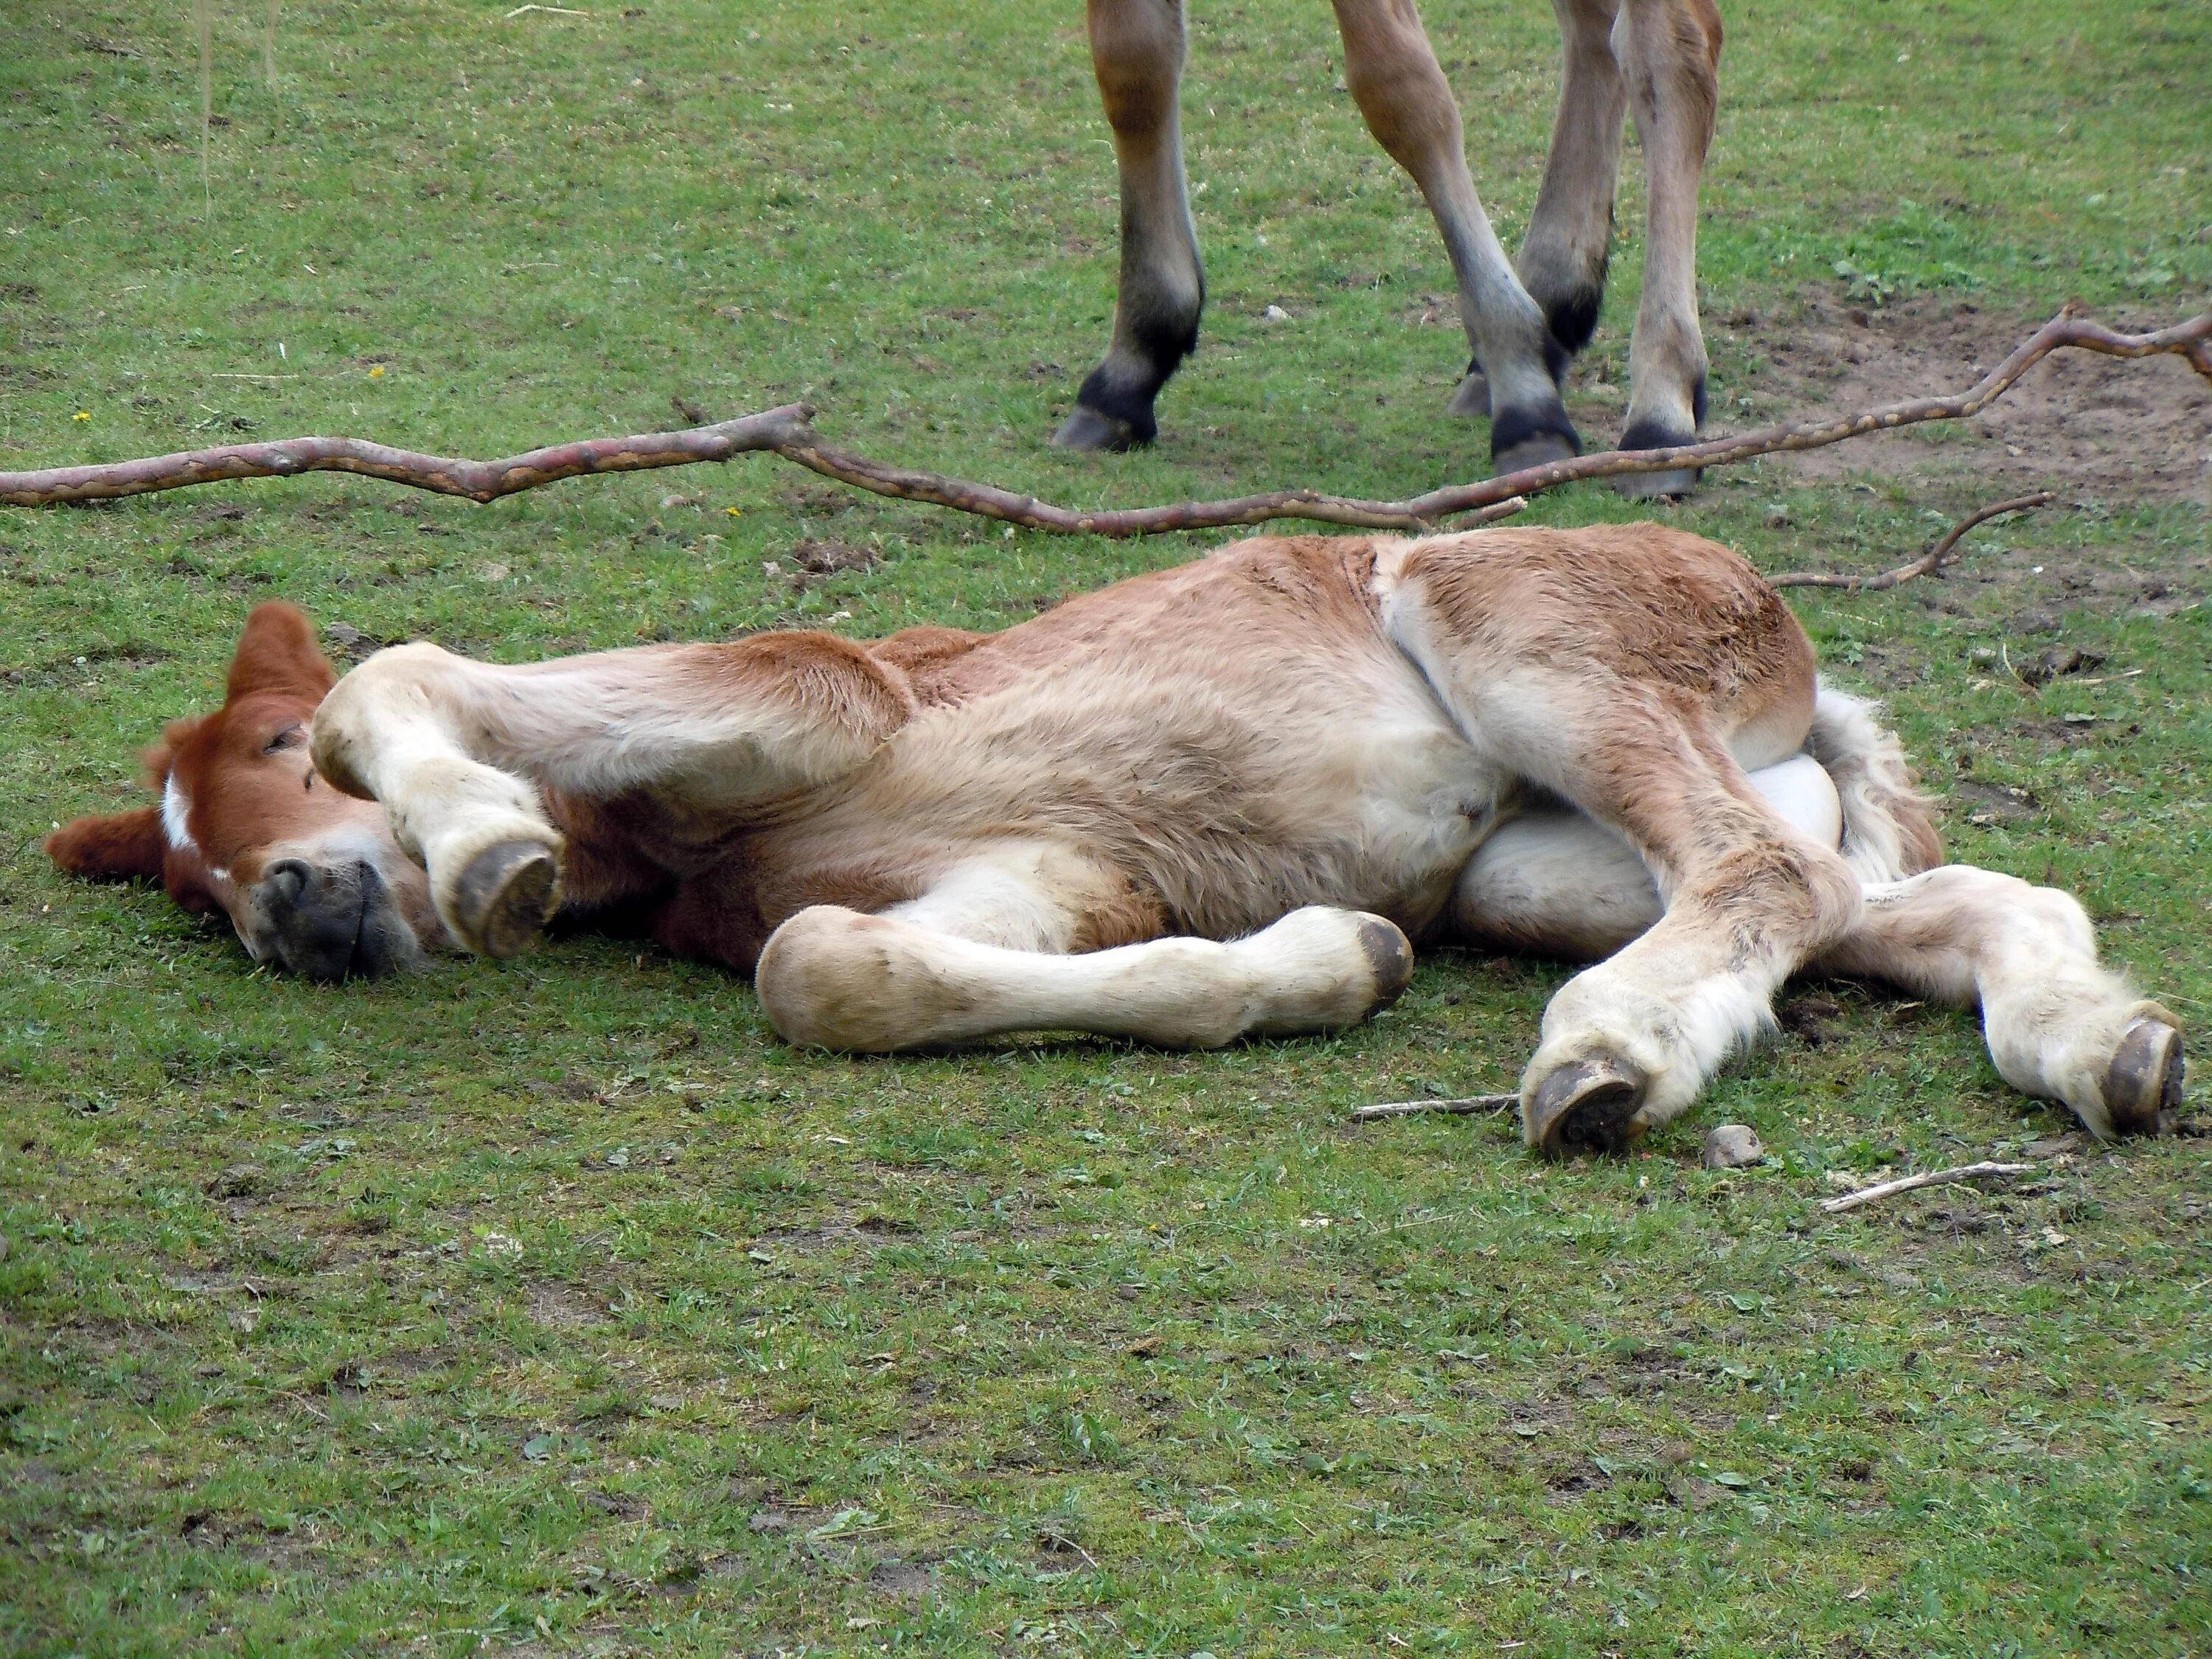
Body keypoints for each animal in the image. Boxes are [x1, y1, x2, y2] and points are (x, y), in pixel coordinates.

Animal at [47, 522, 2177, 1159]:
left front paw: (488, 842)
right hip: (1537, 862)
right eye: (189, 886)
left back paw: (1610, 1055)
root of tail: (1785, 637)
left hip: (1515, 636)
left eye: (268, 750)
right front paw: (1325, 960)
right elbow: (835, 966)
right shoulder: (1049, 878)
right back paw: (2106, 1044)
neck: (656, 853)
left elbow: (402, 672)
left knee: (1774, 875)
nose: (298, 905)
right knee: (1915, 892)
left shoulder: (825, 692)